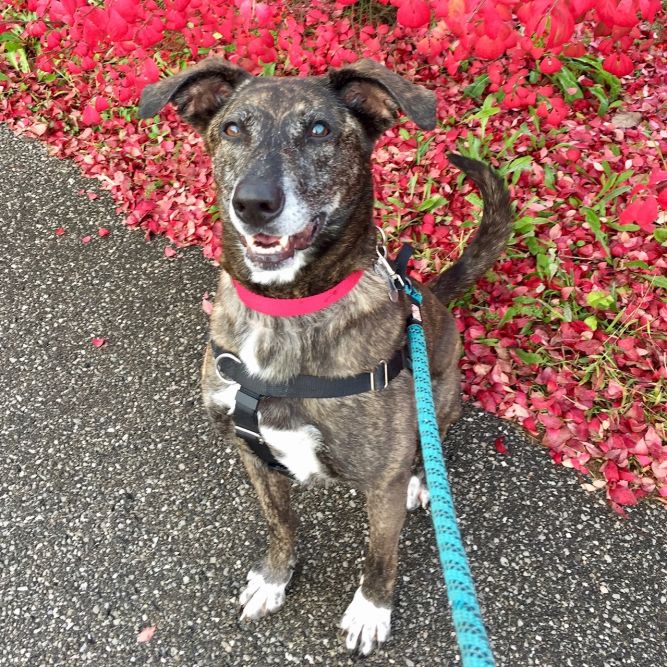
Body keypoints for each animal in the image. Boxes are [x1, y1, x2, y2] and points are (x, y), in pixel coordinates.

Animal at [137, 58, 512, 656]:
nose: (254, 203)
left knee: (433, 441)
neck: (287, 308)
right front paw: (274, 578)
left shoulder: (381, 486)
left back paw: (423, 479)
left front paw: (371, 610)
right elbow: (281, 523)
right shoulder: (253, 455)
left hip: (442, 394)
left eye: (319, 130)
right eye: (233, 128)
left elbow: (381, 556)